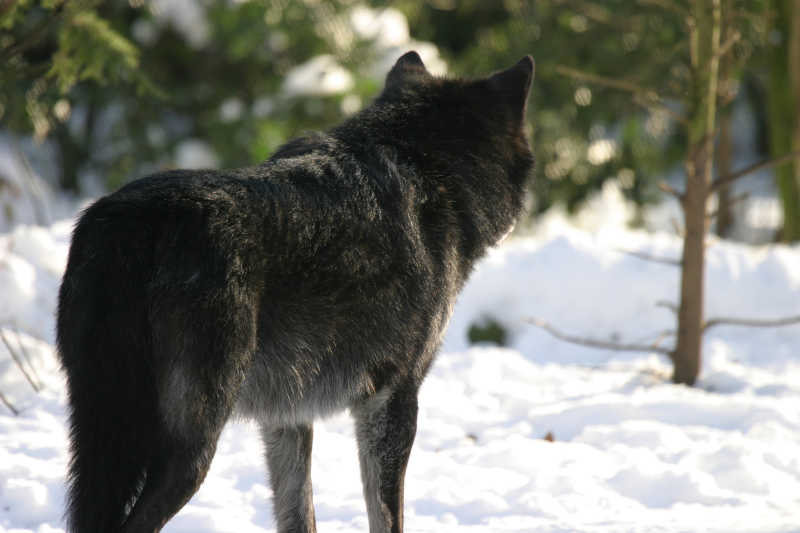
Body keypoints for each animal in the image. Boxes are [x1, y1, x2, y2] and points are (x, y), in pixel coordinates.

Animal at [54, 51, 532, 532]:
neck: (420, 164)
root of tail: (129, 223)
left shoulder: (287, 418)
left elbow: (299, 512)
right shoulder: (392, 400)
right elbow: (385, 516)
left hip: (96, 434)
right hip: (192, 448)